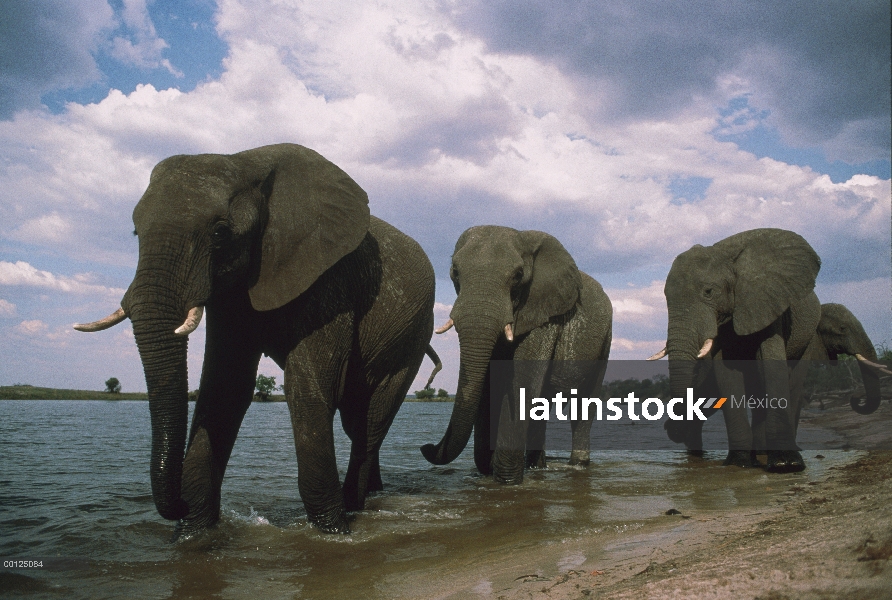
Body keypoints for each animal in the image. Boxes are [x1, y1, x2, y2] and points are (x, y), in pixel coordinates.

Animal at [75, 144, 438, 536]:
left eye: (220, 232)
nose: (178, 504)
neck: (245, 160)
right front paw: (193, 534)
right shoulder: (229, 293)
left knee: (372, 418)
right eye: (134, 231)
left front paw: (333, 531)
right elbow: (224, 388)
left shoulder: (331, 277)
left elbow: (307, 385)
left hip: (413, 336)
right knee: (356, 421)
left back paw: (355, 507)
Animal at [420, 225, 612, 482]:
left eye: (518, 275)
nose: (426, 447)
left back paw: (577, 465)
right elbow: (488, 385)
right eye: (454, 272)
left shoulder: (544, 313)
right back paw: (536, 467)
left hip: (605, 341)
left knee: (583, 405)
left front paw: (507, 481)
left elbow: (522, 384)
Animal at [648, 229, 824, 474]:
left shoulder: (768, 304)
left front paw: (785, 465)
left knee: (794, 381)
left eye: (709, 292)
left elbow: (771, 365)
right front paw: (738, 463)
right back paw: (759, 454)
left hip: (808, 335)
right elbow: (726, 375)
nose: (674, 431)